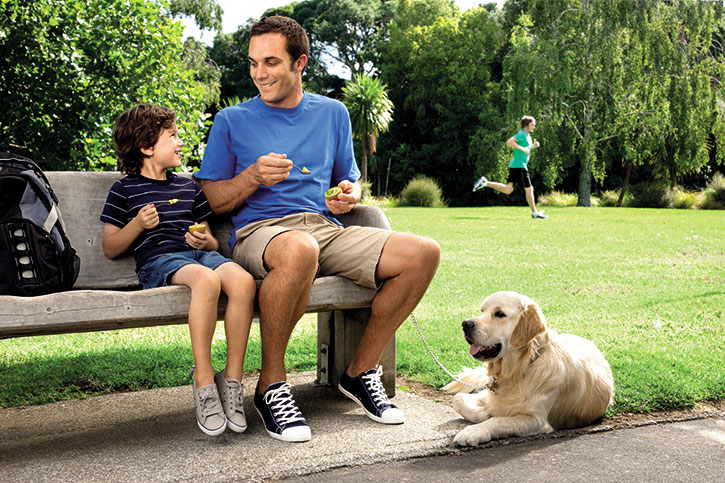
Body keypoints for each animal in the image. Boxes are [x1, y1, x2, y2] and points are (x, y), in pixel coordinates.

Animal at [442, 292, 612, 446]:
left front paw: (473, 431)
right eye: (482, 310)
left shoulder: (536, 420)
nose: (465, 324)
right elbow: (457, 399)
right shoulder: (488, 395)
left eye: (499, 314)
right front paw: (483, 413)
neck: (519, 369)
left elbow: (497, 420)